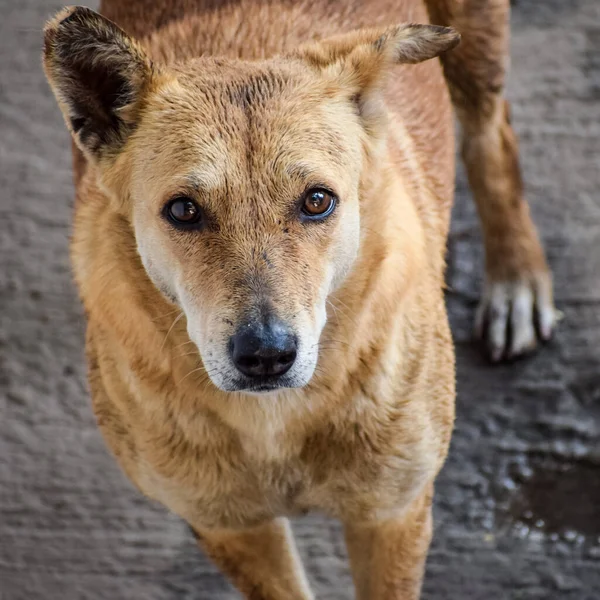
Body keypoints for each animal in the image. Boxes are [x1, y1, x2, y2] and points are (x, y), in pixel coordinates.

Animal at [44, 2, 556, 596]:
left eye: (317, 200)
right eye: (183, 210)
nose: (266, 356)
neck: (276, 420)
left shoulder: (391, 515)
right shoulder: (231, 528)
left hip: (473, 42)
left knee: (491, 132)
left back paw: (517, 280)